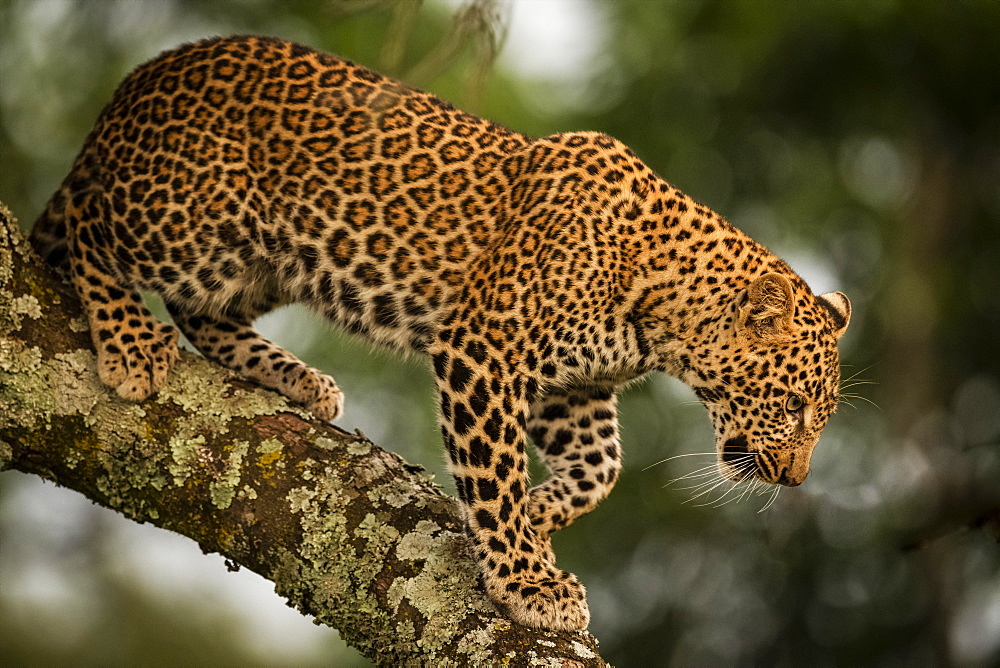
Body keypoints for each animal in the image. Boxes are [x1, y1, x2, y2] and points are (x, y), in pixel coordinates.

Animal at [29, 35, 852, 632]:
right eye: (794, 407)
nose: (795, 479)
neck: (661, 315)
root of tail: (141, 78)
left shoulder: (573, 389)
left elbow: (601, 467)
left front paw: (540, 518)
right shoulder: (483, 350)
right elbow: (495, 471)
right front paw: (526, 577)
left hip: (260, 262)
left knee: (201, 312)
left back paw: (296, 378)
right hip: (194, 219)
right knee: (93, 222)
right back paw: (131, 344)